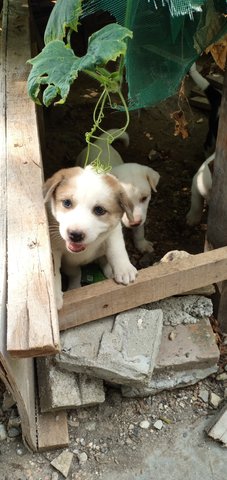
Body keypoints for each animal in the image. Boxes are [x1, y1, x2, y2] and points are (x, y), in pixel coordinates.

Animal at [43, 165, 137, 310]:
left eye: (99, 210)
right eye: (67, 203)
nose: (75, 235)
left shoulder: (114, 231)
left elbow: (116, 249)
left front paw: (124, 268)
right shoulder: (54, 247)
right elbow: (54, 269)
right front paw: (55, 294)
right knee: (75, 273)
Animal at [77, 127, 160, 255]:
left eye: (144, 198)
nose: (135, 222)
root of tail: (101, 142)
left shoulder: (141, 213)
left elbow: (139, 231)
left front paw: (142, 244)